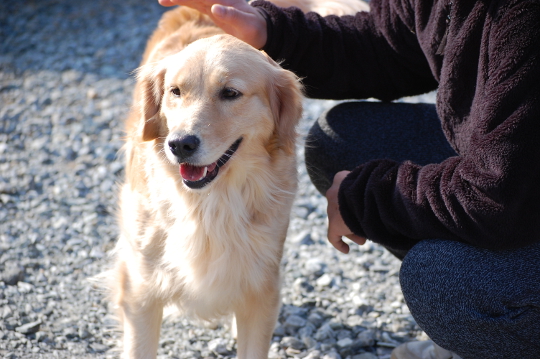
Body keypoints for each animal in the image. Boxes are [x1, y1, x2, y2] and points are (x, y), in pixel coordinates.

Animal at [107, 1, 372, 358]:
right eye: (175, 91)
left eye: (230, 93)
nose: (180, 144)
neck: (211, 203)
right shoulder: (140, 292)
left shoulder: (261, 289)